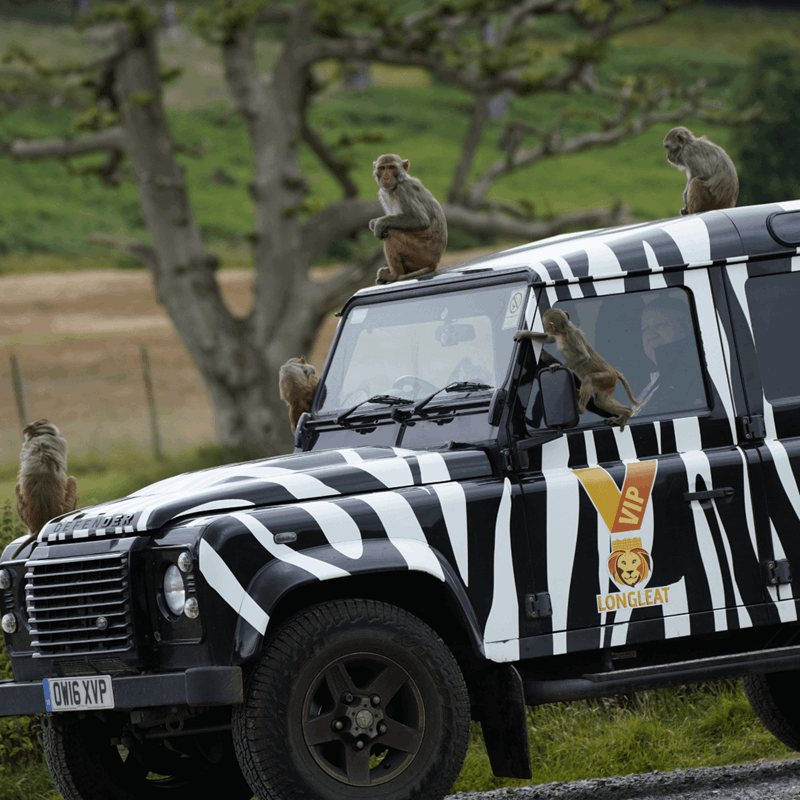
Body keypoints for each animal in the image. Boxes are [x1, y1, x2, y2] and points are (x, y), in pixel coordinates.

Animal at [369, 154, 448, 284]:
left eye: (391, 167)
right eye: (382, 168)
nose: (386, 177)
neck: (397, 184)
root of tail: (435, 263)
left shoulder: (403, 191)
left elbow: (421, 220)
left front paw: (379, 223)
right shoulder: (383, 194)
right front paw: (373, 223)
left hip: (420, 253)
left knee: (392, 232)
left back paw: (394, 275)